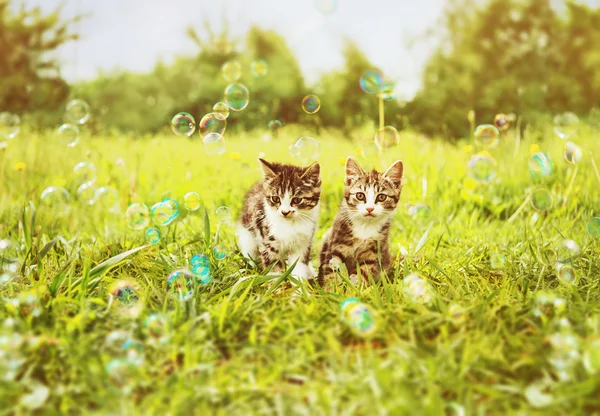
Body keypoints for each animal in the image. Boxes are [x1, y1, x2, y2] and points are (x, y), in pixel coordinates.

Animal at [318, 156, 404, 286]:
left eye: (381, 197)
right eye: (360, 195)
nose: (370, 208)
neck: (364, 225)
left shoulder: (374, 250)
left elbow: (363, 271)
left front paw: (356, 287)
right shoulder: (336, 244)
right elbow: (331, 270)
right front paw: (331, 288)